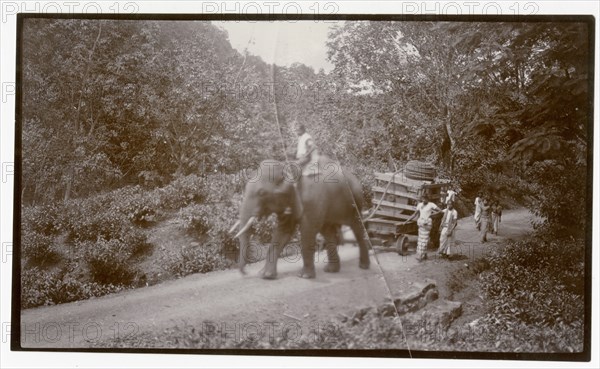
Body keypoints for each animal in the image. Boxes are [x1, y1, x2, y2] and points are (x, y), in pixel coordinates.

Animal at [231, 153, 368, 278]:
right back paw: (331, 270)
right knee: (328, 231)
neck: (287, 165)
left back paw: (363, 266)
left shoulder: (312, 199)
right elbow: (282, 232)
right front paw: (266, 275)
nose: (246, 273)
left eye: (261, 193)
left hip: (355, 201)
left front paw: (304, 276)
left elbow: (308, 230)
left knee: (357, 228)